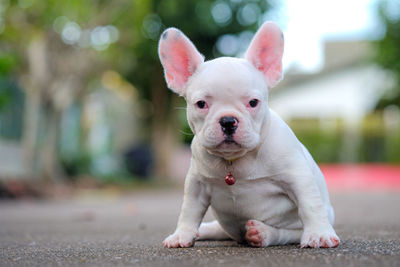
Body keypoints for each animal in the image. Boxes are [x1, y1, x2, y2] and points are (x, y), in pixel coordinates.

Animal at [158, 21, 340, 249]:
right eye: (201, 104)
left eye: (253, 102)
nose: (228, 121)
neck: (235, 161)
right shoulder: (196, 184)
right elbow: (189, 211)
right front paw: (182, 235)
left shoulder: (298, 177)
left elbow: (309, 205)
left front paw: (319, 234)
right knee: (217, 228)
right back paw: (207, 230)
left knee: (290, 233)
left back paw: (263, 233)